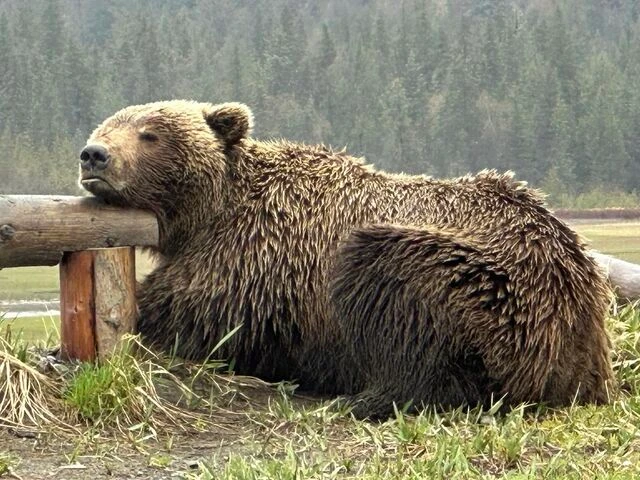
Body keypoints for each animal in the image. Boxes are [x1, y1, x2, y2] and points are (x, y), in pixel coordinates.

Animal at [79, 100, 614, 418]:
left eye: (149, 133)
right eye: (106, 124)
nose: (94, 154)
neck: (206, 214)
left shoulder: (255, 258)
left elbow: (195, 316)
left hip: (480, 281)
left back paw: (364, 397)